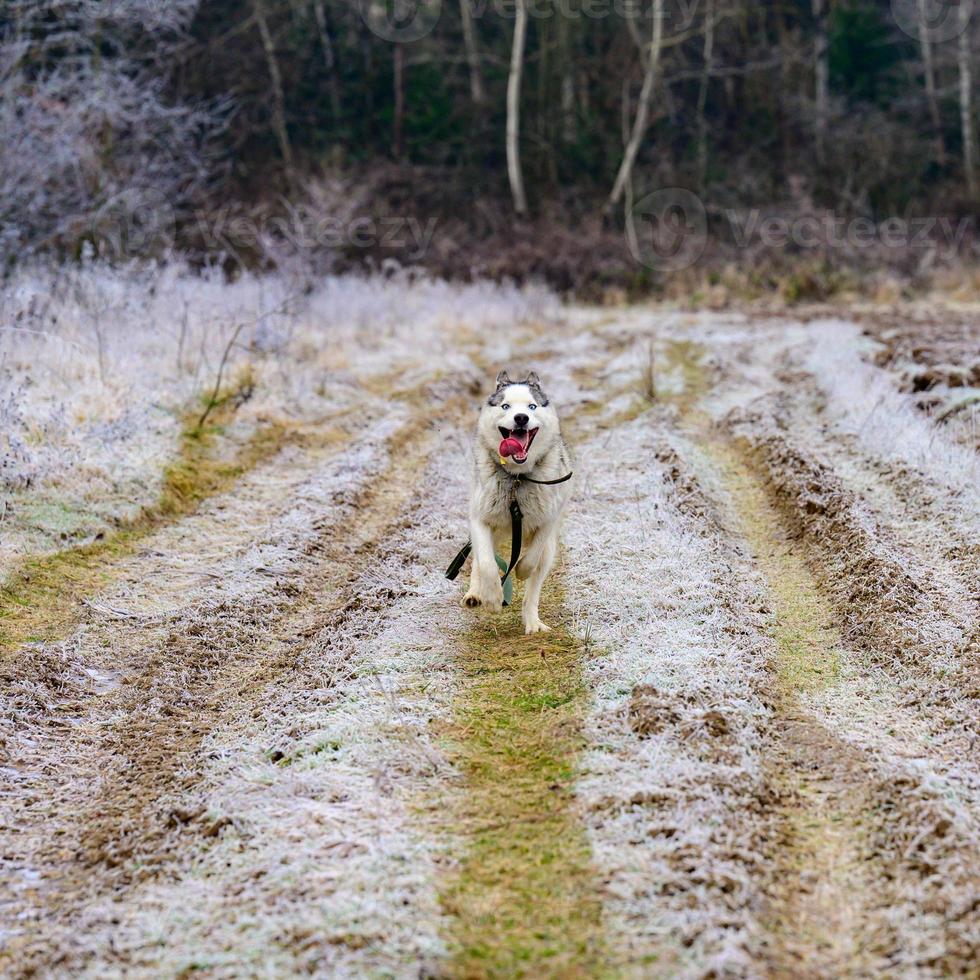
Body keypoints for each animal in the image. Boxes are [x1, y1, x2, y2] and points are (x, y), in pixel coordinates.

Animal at [462, 370, 572, 636]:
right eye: (506, 406)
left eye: (532, 406)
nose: (521, 418)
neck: (517, 478)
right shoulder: (479, 519)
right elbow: (487, 563)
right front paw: (492, 598)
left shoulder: (548, 520)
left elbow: (531, 557)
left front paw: (521, 569)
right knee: (479, 558)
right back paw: (475, 593)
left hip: (549, 551)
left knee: (533, 590)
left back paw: (532, 622)